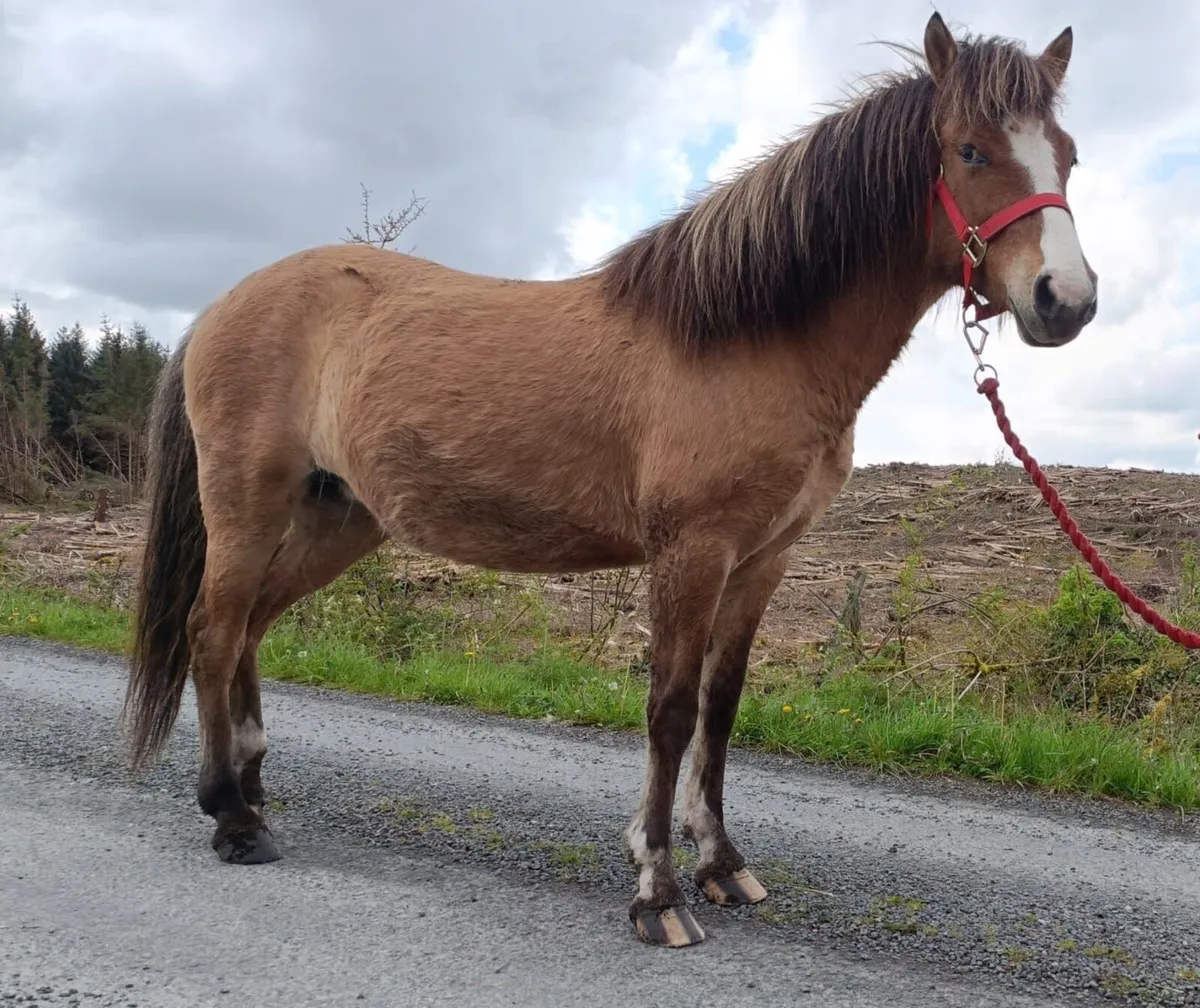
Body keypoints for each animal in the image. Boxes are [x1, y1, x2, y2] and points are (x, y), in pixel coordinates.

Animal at [123, 11, 1097, 947]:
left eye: (1069, 154)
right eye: (970, 151)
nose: (1067, 300)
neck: (746, 336)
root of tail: (221, 306)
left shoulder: (763, 560)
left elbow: (721, 707)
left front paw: (721, 864)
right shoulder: (692, 552)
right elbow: (669, 709)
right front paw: (657, 891)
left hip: (339, 517)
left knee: (251, 624)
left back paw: (253, 790)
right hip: (248, 503)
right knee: (213, 628)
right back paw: (231, 818)